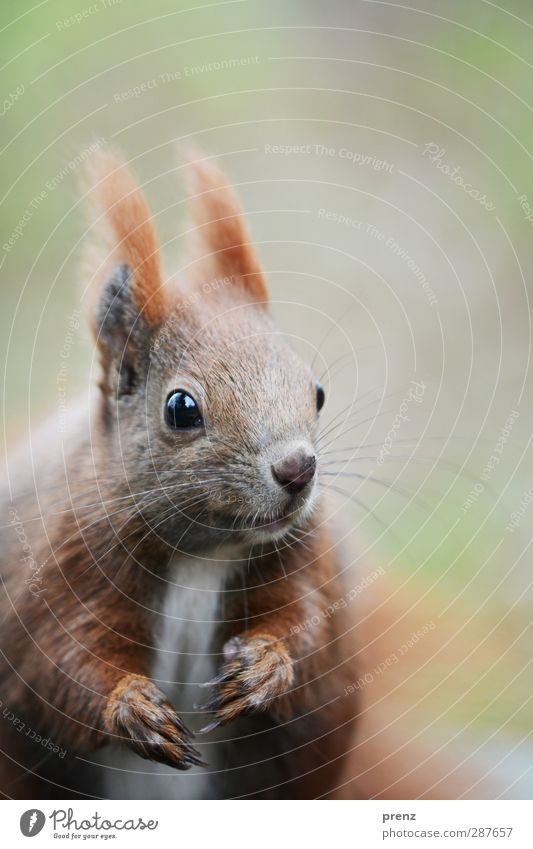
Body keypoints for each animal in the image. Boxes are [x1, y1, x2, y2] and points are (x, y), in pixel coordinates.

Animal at [1, 149, 358, 800]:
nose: (298, 470)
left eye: (317, 391)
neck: (205, 554)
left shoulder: (303, 555)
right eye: (181, 408)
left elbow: (310, 626)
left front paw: (266, 667)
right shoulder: (58, 567)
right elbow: (58, 664)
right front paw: (132, 707)